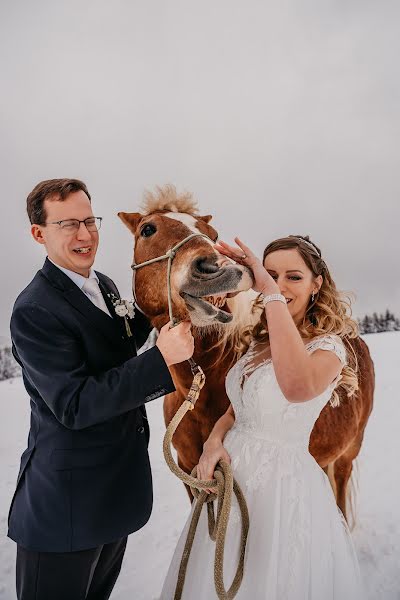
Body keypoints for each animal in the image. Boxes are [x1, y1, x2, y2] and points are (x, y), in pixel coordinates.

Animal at [117, 185, 374, 516]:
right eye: (148, 230)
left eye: (213, 234)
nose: (218, 269)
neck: (201, 393)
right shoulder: (190, 476)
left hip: (347, 455)